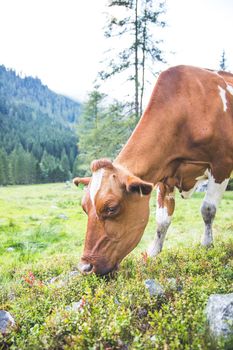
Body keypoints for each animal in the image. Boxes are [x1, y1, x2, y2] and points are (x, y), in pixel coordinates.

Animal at [73, 64, 233, 274]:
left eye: (111, 208)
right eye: (84, 207)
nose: (85, 267)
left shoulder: (222, 164)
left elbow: (208, 210)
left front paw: (207, 245)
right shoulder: (165, 176)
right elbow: (162, 220)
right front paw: (152, 254)